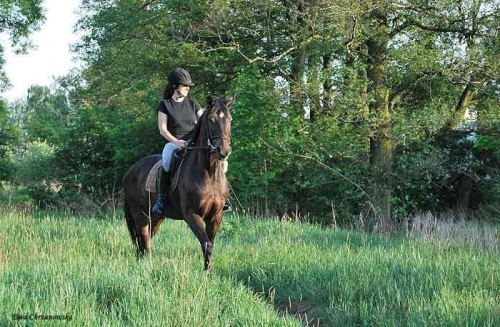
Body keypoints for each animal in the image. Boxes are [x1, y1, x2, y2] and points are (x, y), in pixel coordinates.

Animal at [124, 96, 235, 270]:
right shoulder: (192, 215)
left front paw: (208, 270)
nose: (223, 151)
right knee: (143, 239)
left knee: (144, 241)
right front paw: (206, 272)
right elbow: (207, 244)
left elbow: (210, 243)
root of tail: (130, 171)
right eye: (211, 120)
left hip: (156, 217)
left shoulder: (216, 215)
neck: (209, 173)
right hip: (139, 214)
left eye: (230, 119)